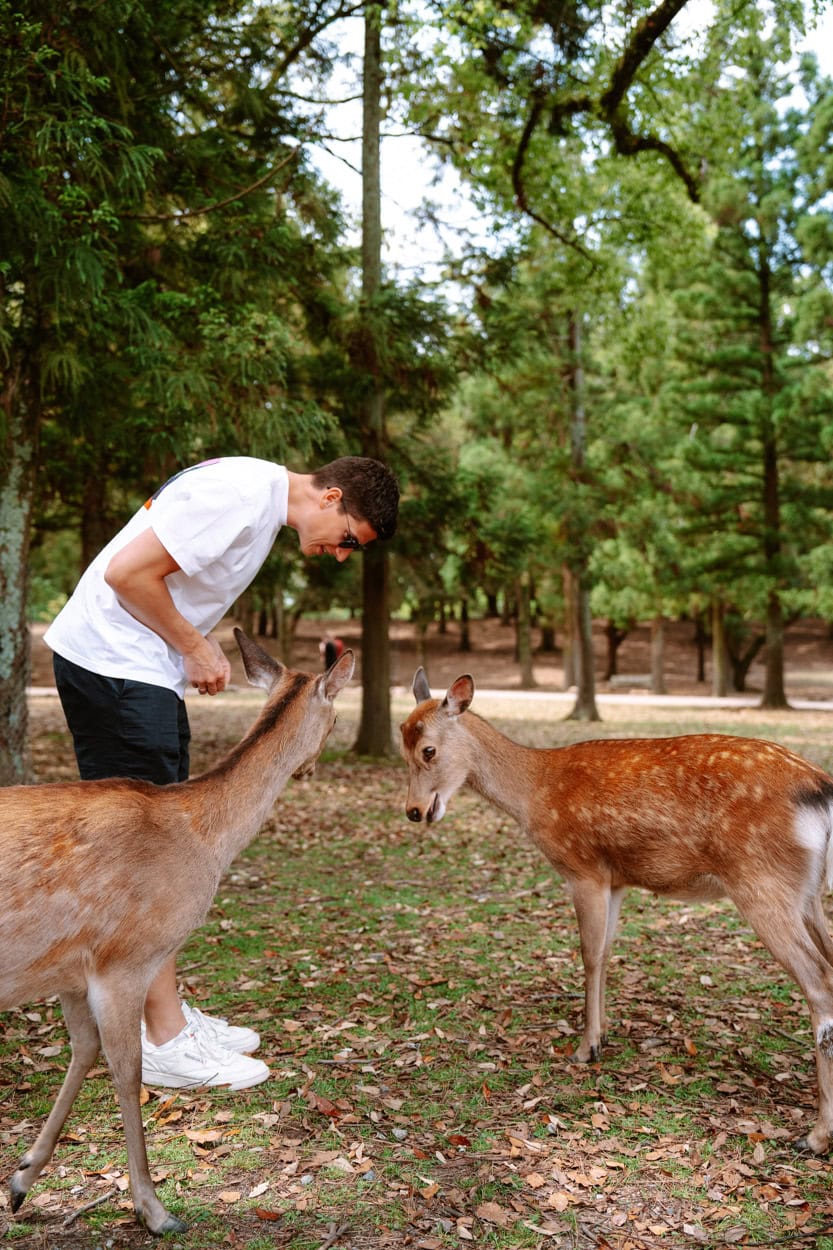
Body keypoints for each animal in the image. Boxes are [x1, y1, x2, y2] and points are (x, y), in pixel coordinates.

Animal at [0, 630, 352, 1235]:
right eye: (335, 718)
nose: (312, 767)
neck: (201, 838)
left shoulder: (70, 968)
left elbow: (83, 1051)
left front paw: (22, 1179)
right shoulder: (124, 958)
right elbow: (127, 1069)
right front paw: (154, 1209)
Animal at [397, 675, 833, 1150]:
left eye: (428, 750)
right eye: (401, 743)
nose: (414, 811)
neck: (535, 790)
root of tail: (821, 790)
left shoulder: (584, 868)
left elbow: (588, 955)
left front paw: (585, 1048)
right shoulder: (618, 879)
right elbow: (605, 954)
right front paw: (602, 1035)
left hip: (762, 882)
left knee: (820, 984)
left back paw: (816, 1135)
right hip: (809, 894)